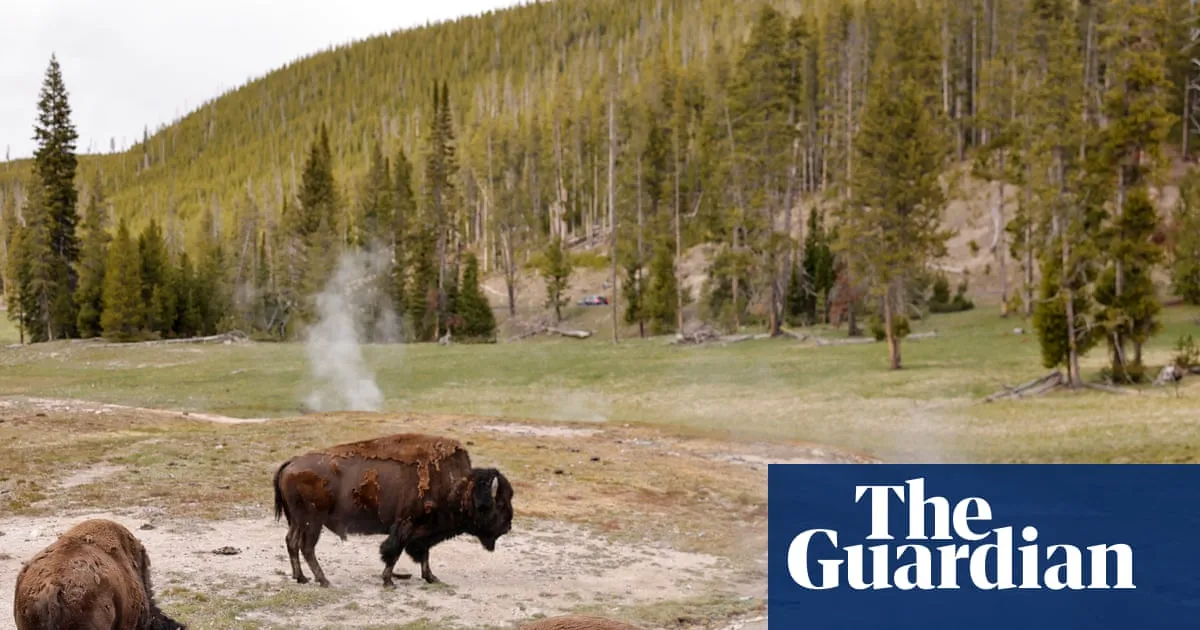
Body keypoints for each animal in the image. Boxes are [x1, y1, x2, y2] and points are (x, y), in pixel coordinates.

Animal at [273, 432, 514, 588]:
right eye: (499, 504)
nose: (507, 526)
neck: (458, 486)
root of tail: (292, 463)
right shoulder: (406, 525)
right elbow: (394, 552)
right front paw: (388, 581)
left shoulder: (423, 529)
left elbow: (424, 553)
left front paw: (431, 577)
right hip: (313, 522)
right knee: (306, 547)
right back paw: (323, 581)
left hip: (297, 521)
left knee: (291, 542)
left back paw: (301, 577)